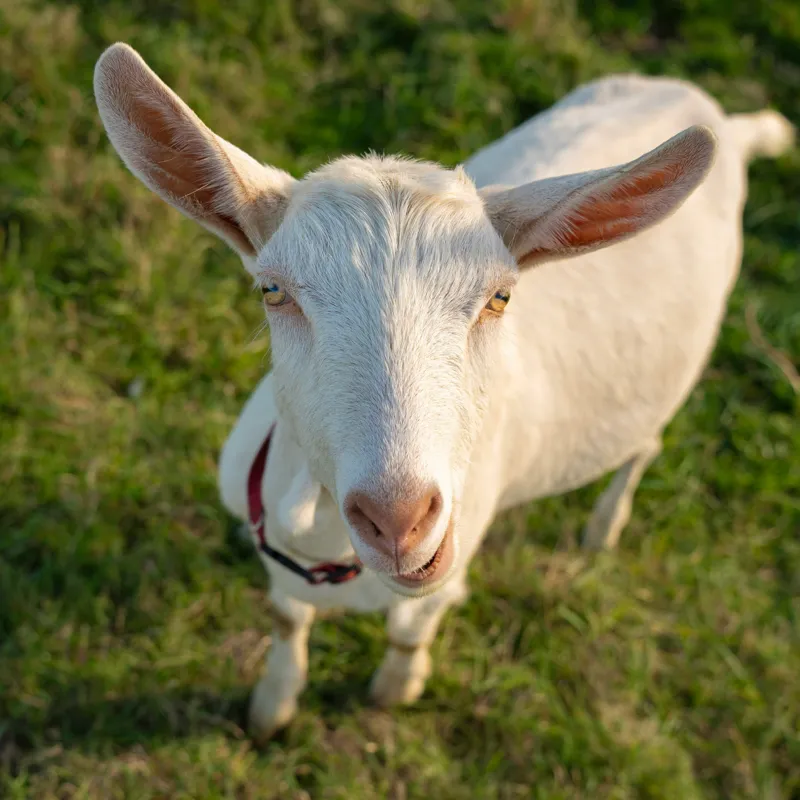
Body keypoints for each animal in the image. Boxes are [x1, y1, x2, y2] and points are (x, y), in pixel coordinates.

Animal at [94, 43, 794, 743]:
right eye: (273, 291)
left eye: (499, 297)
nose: (398, 518)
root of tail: (724, 122)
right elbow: (287, 618)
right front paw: (272, 707)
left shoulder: (448, 569)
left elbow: (411, 628)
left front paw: (395, 690)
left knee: (645, 445)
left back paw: (604, 528)